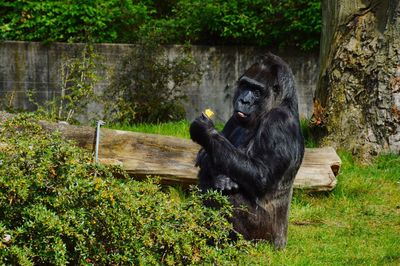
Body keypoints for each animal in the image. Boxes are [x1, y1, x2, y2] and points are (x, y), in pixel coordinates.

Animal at [190, 52, 304, 249]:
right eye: (244, 86)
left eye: (257, 91)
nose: (243, 100)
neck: (281, 102)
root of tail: (281, 243)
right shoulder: (233, 118)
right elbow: (205, 155)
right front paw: (220, 176)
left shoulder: (279, 122)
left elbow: (260, 175)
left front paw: (205, 132)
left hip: (266, 240)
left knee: (228, 196)